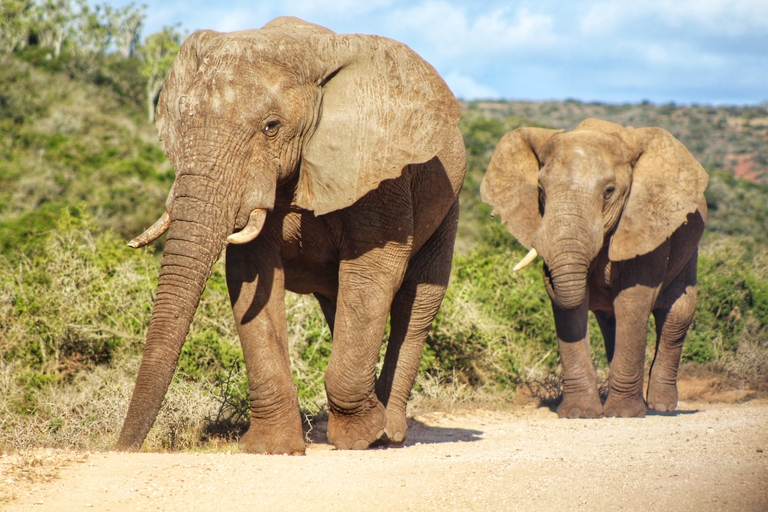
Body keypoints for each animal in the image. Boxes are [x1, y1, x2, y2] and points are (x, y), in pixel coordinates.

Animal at [116, 17, 466, 454]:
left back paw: (389, 433)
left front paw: (359, 437)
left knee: (414, 305)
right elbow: (251, 277)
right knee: (340, 304)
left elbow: (373, 272)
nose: (120, 447)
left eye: (271, 127)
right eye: (182, 126)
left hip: (448, 206)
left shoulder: (381, 172)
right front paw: (273, 447)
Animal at [480, 118, 708, 418]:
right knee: (611, 323)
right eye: (540, 191)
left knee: (676, 316)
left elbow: (632, 301)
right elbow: (571, 309)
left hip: (688, 249)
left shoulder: (646, 225)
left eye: (609, 191)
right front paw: (579, 413)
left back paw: (662, 406)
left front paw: (623, 414)